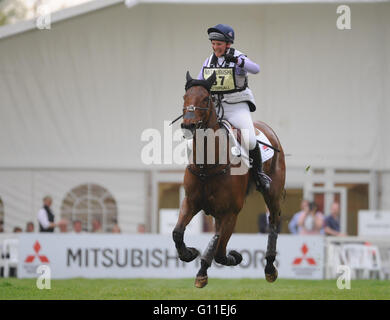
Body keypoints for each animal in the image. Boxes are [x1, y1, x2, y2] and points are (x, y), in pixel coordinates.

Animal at [172, 70, 284, 288]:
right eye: (184, 97)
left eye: (206, 98)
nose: (188, 125)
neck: (207, 165)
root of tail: (266, 128)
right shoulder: (191, 202)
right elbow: (178, 233)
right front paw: (189, 254)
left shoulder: (231, 212)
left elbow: (220, 250)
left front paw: (230, 259)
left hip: (272, 194)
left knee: (274, 221)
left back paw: (269, 268)